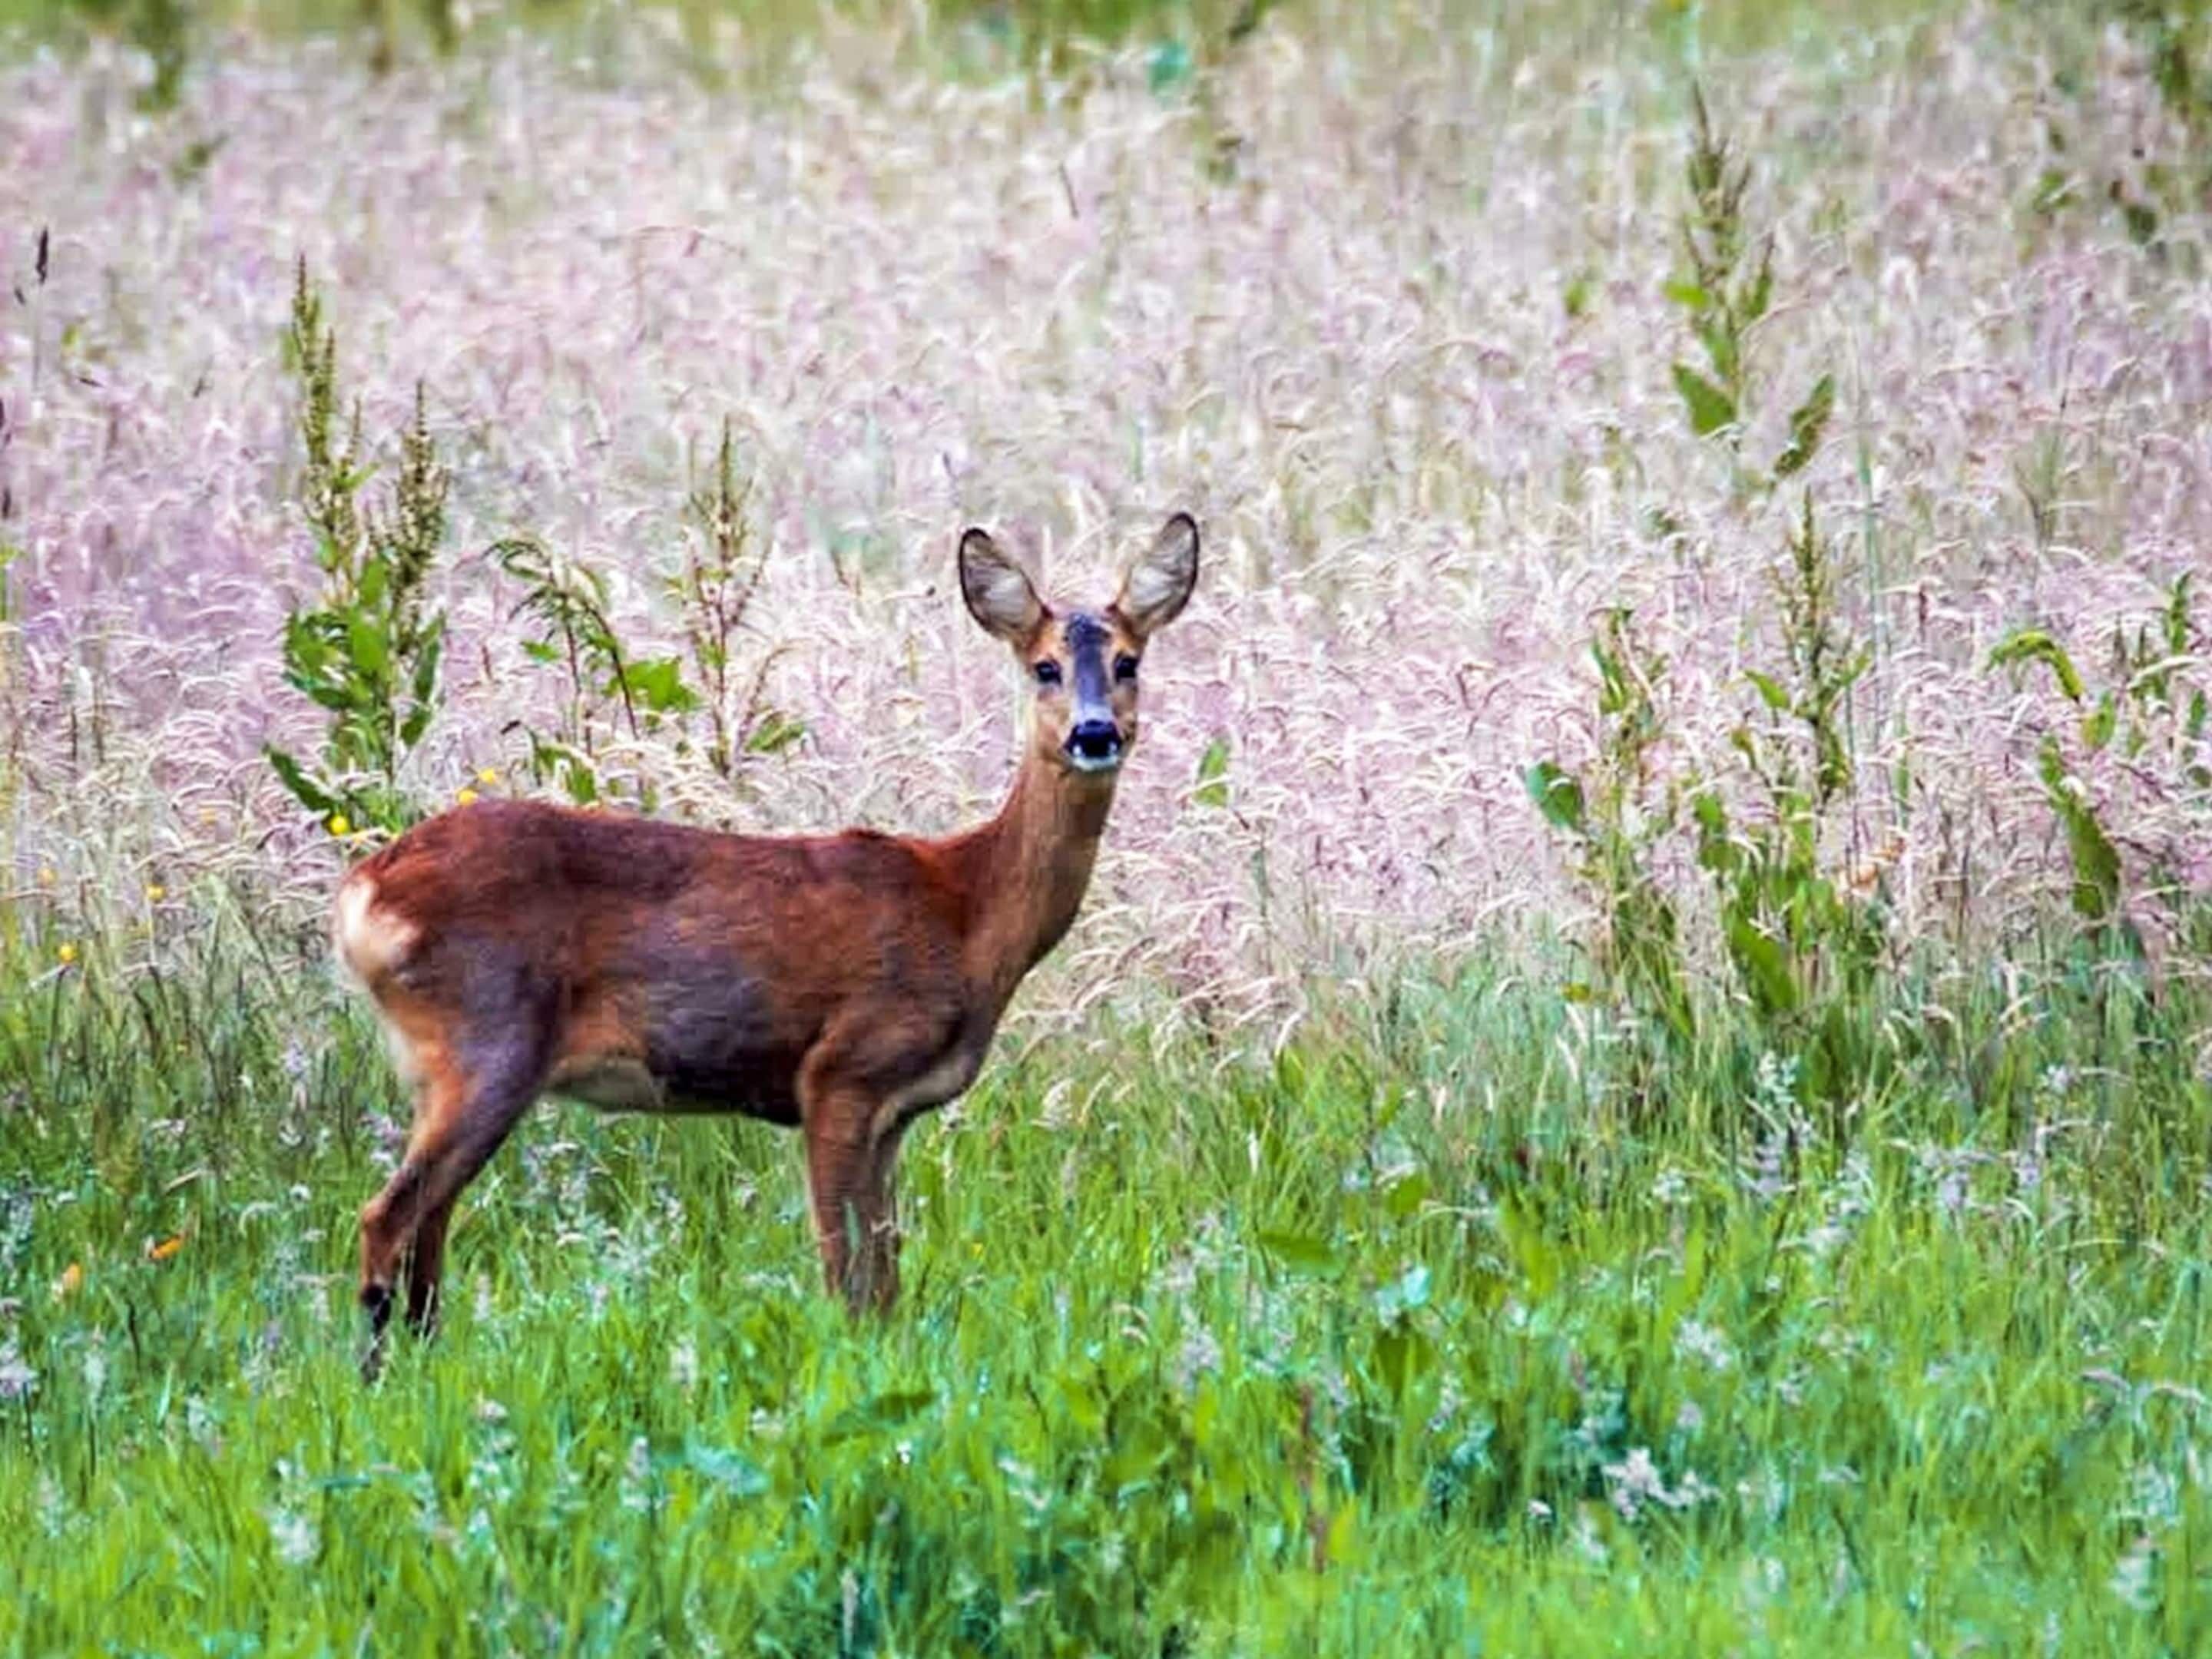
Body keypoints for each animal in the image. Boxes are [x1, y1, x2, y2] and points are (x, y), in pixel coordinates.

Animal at [333, 514, 1199, 1375]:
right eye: (1044, 667)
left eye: (1128, 661)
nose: (1095, 733)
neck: (969, 911)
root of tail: (363, 891)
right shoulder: (840, 1071)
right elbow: (846, 1277)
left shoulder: (894, 1113)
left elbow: (887, 1275)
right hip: (490, 1038)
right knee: (387, 1218)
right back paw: (378, 1378)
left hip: (445, 1066)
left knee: (427, 1234)